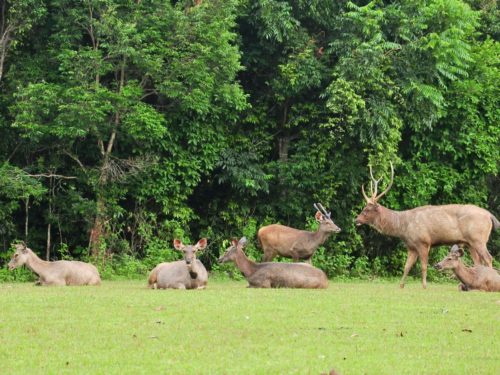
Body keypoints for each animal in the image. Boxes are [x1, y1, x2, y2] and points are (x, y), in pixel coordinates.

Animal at [354, 163, 498, 290]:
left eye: (367, 210)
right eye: (364, 208)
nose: (356, 220)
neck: (403, 227)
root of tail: (490, 216)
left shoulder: (423, 242)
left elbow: (423, 266)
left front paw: (424, 286)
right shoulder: (411, 247)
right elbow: (407, 266)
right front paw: (401, 285)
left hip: (478, 238)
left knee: (488, 257)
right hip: (470, 242)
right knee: (478, 261)